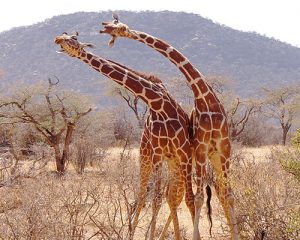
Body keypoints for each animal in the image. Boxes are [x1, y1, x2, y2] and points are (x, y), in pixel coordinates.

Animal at [53, 31, 195, 240]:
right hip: (148, 156)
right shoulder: (158, 151)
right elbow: (156, 199)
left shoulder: (182, 152)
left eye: (74, 39)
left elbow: (170, 199)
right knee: (148, 194)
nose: (58, 39)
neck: (156, 101)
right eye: (65, 36)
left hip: (175, 161)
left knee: (172, 196)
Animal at [99, 15, 240, 239]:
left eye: (119, 27)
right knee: (155, 194)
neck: (205, 98)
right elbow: (194, 197)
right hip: (154, 157)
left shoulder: (224, 146)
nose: (105, 30)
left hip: (206, 157)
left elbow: (227, 194)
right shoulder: (199, 147)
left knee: (210, 192)